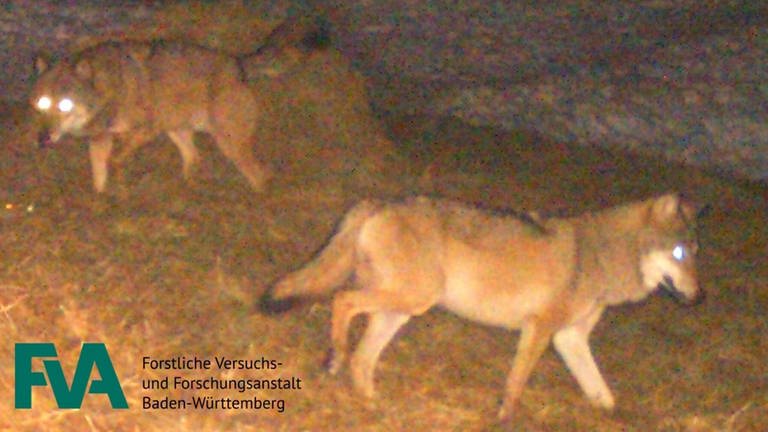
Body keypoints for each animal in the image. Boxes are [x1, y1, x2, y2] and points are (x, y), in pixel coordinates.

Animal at [260, 193, 704, 422]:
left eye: (694, 254)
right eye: (680, 253)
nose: (700, 297)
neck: (598, 256)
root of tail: (379, 202)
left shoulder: (569, 339)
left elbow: (603, 395)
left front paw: (616, 417)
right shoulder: (540, 329)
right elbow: (515, 385)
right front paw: (504, 420)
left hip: (403, 309)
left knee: (362, 358)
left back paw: (372, 403)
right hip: (412, 299)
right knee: (343, 301)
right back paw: (334, 356)